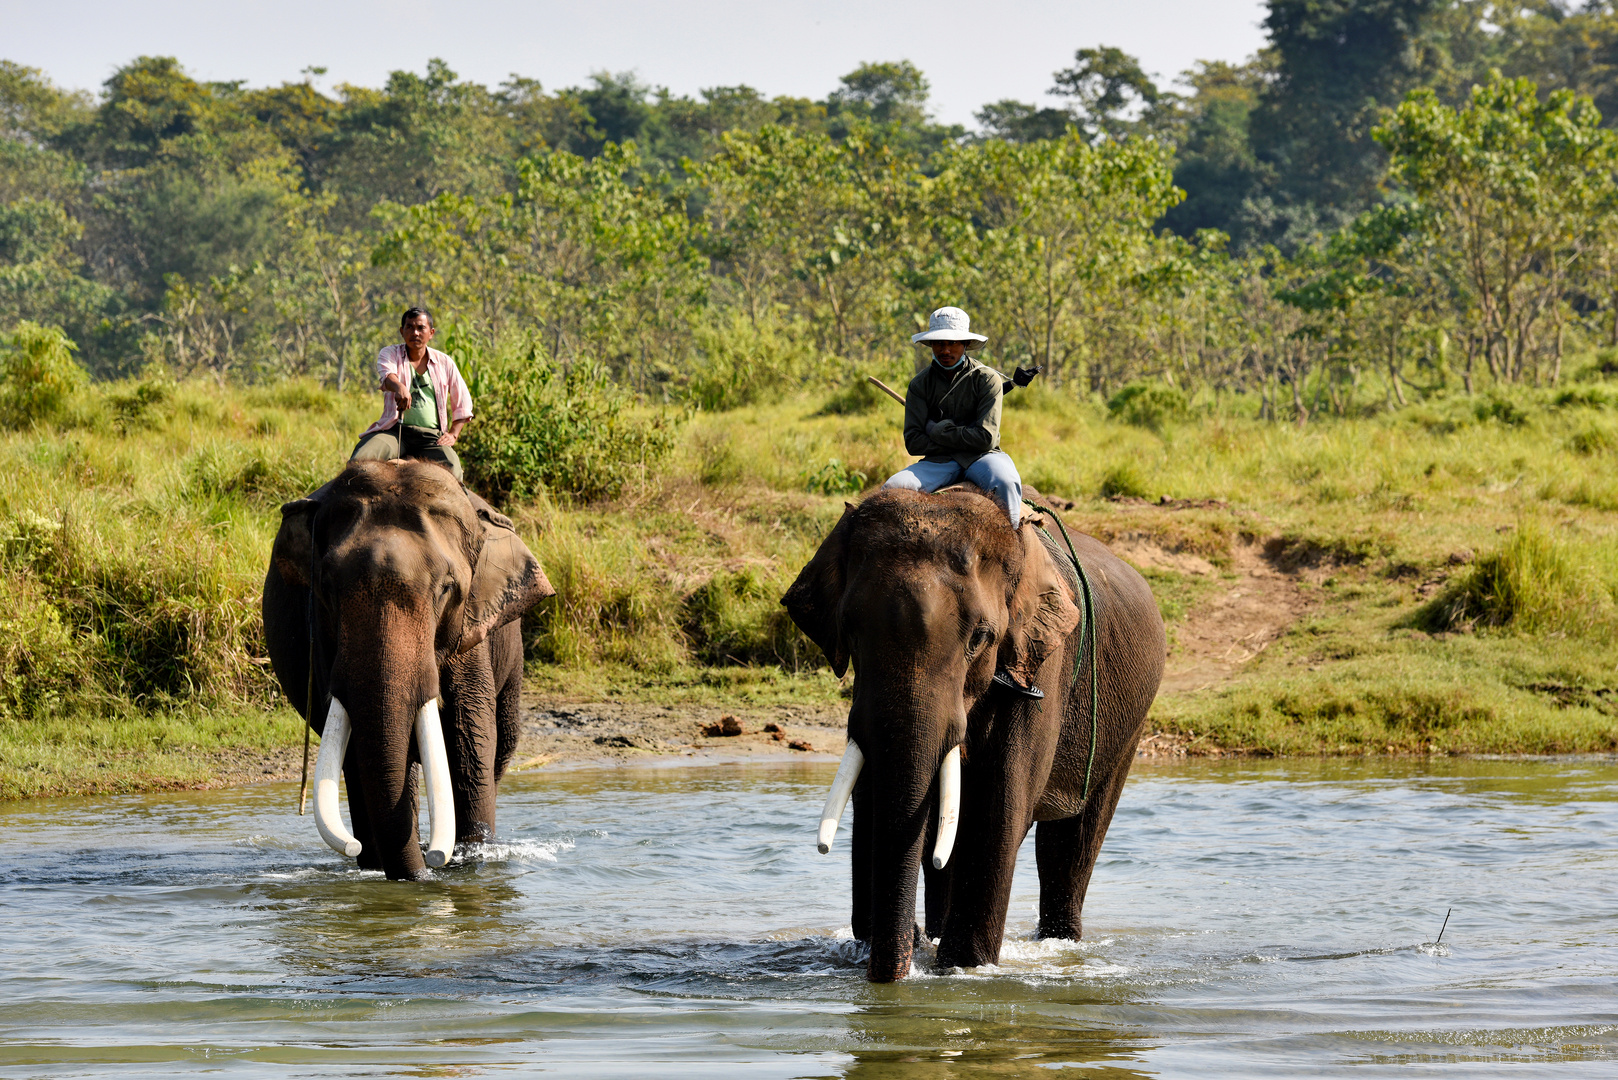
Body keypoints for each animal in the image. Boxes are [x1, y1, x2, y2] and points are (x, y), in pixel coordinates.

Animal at [263, 459, 556, 880]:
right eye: (328, 587)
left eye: (447, 589)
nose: (427, 869)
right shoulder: (322, 634)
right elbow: (358, 752)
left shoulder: (471, 633)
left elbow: (470, 740)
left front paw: (471, 862)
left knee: (501, 744)